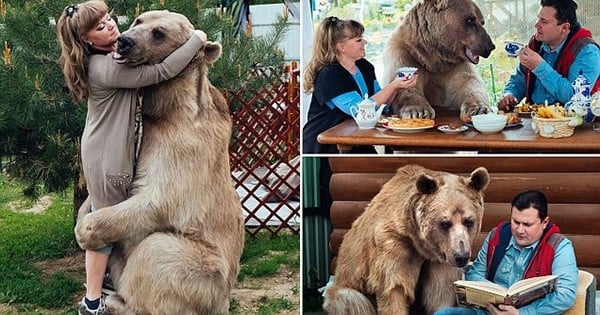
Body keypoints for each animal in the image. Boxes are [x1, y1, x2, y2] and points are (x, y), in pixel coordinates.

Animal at [75, 9, 244, 315]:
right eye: (139, 20)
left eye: (159, 33)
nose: (124, 41)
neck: (168, 109)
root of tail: (222, 302)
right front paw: (85, 209)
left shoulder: (186, 147)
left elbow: (158, 199)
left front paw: (85, 230)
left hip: (205, 274)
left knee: (156, 252)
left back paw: (115, 298)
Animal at [324, 165, 488, 315]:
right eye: (444, 223)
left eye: (469, 221)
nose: (461, 256)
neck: (419, 244)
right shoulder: (393, 245)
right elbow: (394, 287)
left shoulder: (441, 259)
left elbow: (440, 292)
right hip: (347, 285)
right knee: (353, 301)